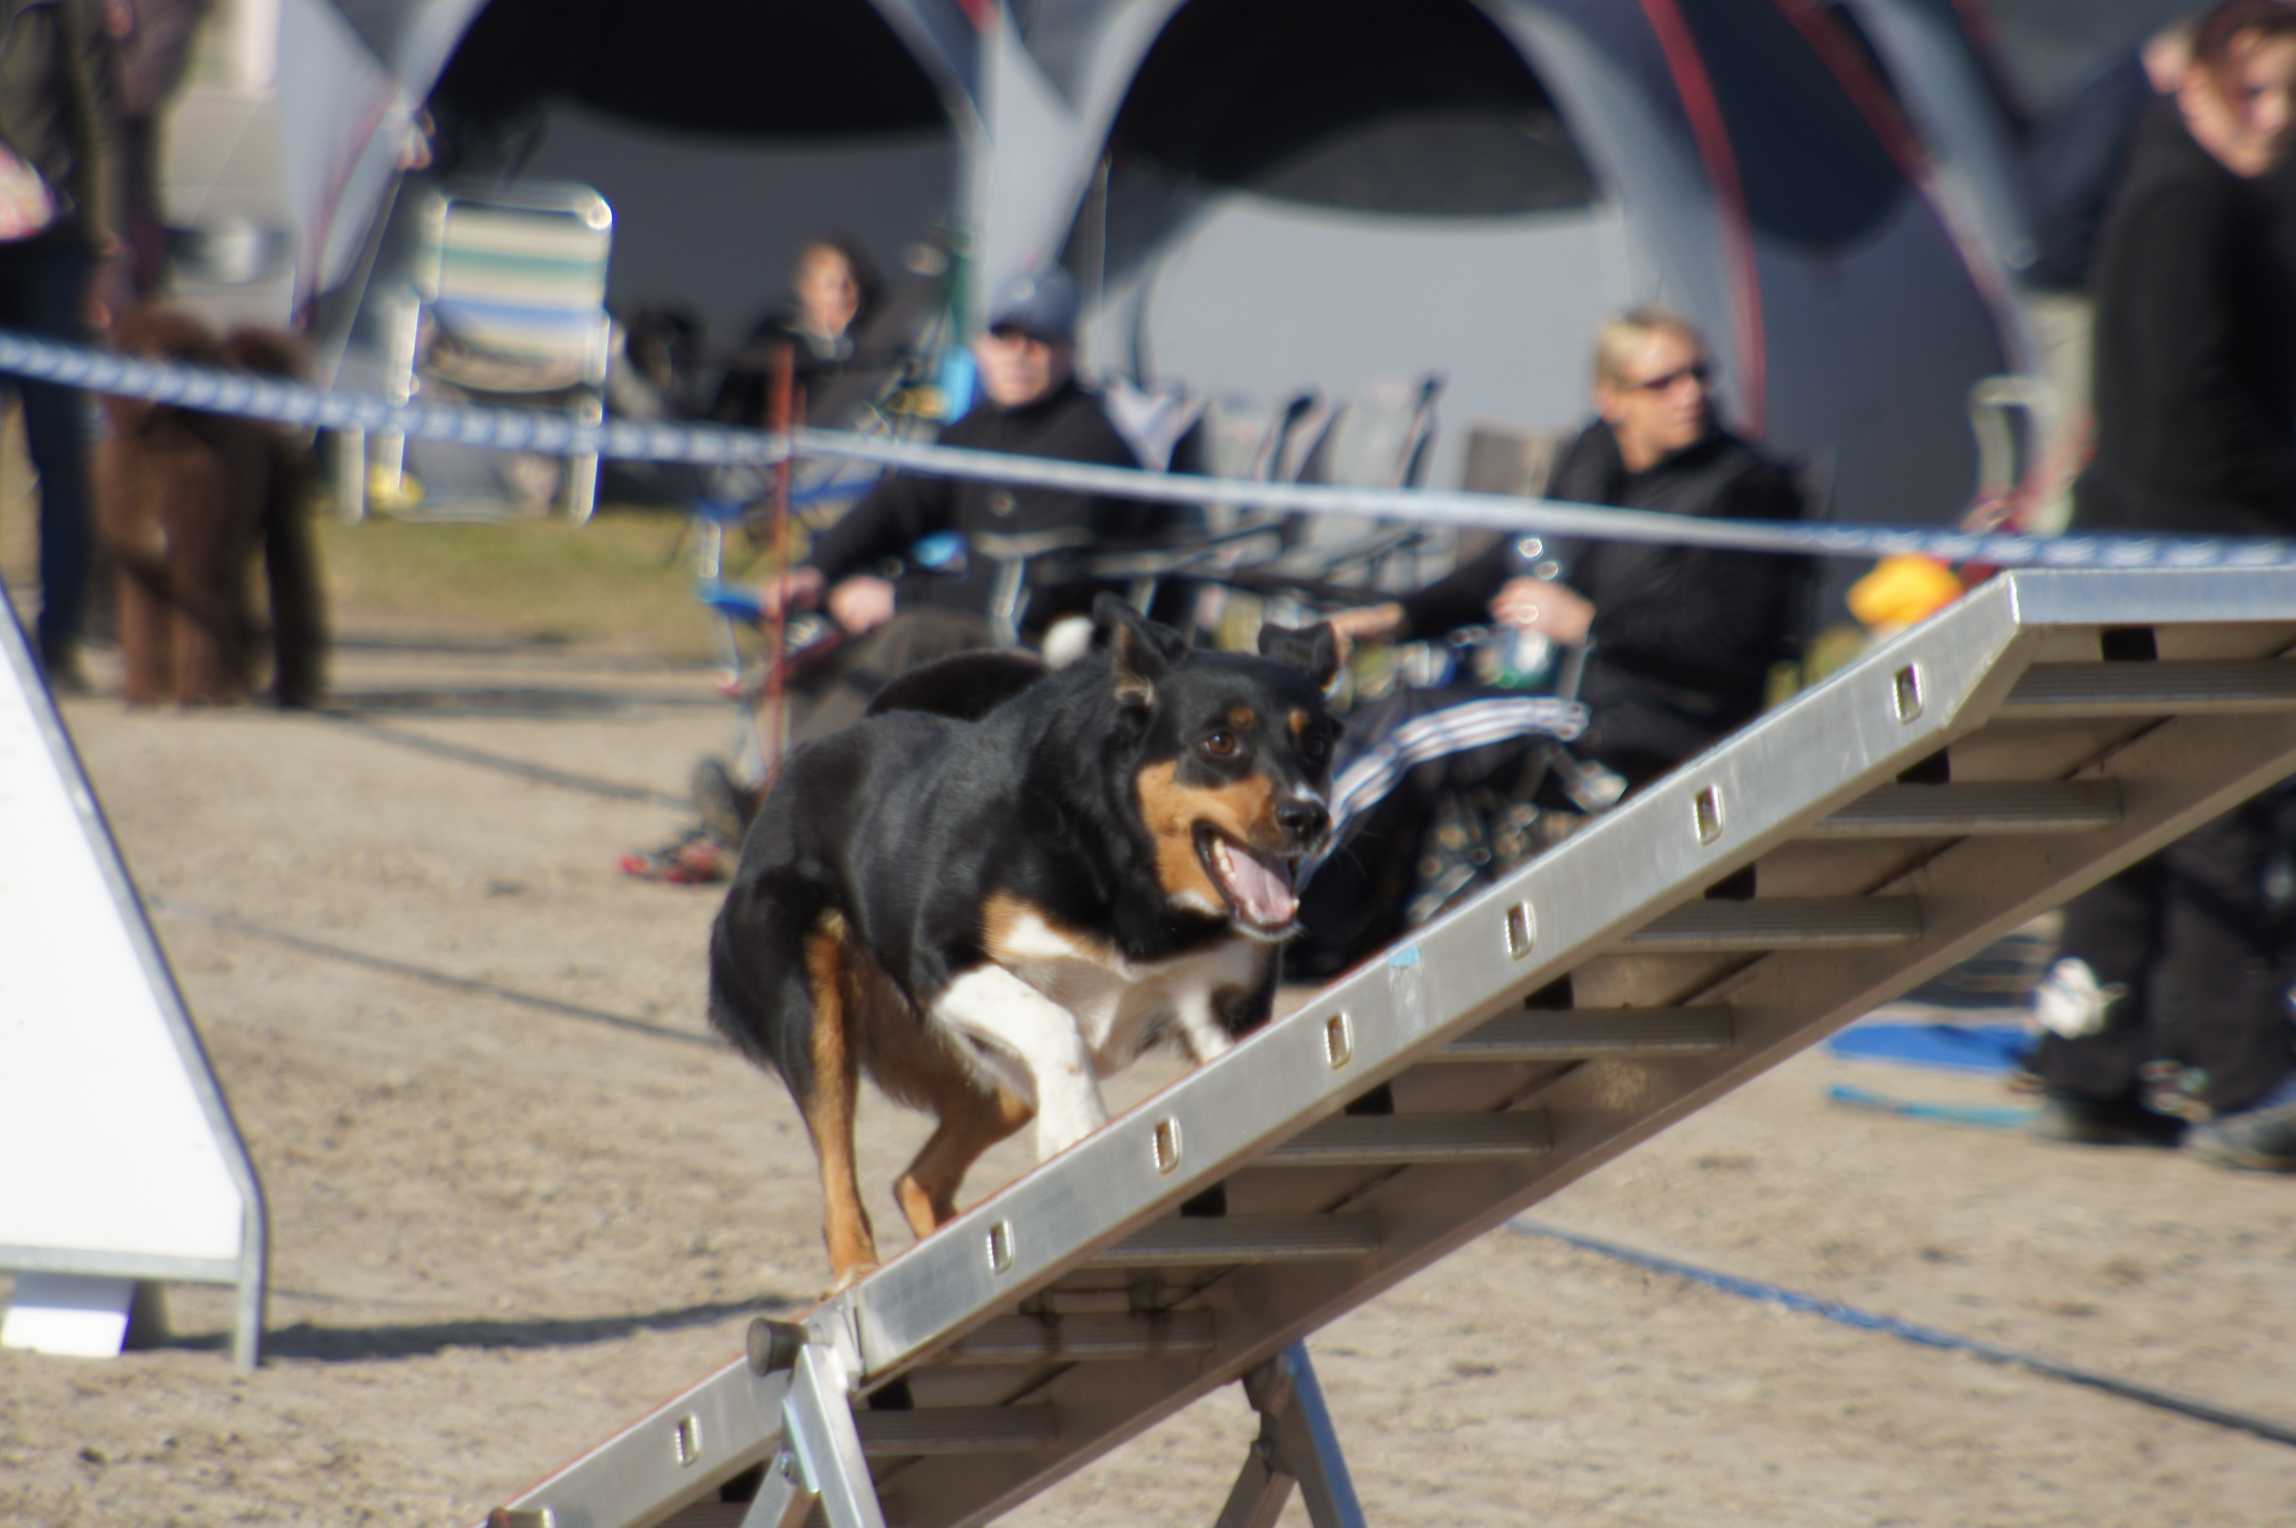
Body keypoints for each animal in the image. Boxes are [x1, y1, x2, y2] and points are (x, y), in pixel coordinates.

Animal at [707, 596, 1340, 1284]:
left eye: (1317, 744)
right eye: (1220, 741)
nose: (1308, 817)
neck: (1127, 874)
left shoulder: (1224, 1013)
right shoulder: (940, 959)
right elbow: (1055, 1025)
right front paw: (1079, 1126)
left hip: (993, 1078)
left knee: (915, 1181)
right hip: (814, 1016)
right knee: (837, 1168)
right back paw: (857, 1270)